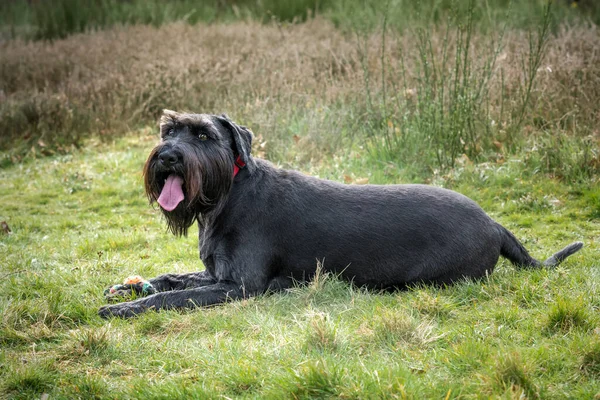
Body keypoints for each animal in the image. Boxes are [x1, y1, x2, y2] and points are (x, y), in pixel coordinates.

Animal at [98, 111, 580, 318]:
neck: (228, 194)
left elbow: (171, 298)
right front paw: (128, 288)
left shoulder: (238, 287)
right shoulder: (216, 275)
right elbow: (170, 279)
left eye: (202, 134)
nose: (168, 157)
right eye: (168, 129)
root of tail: (493, 222)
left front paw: (125, 308)